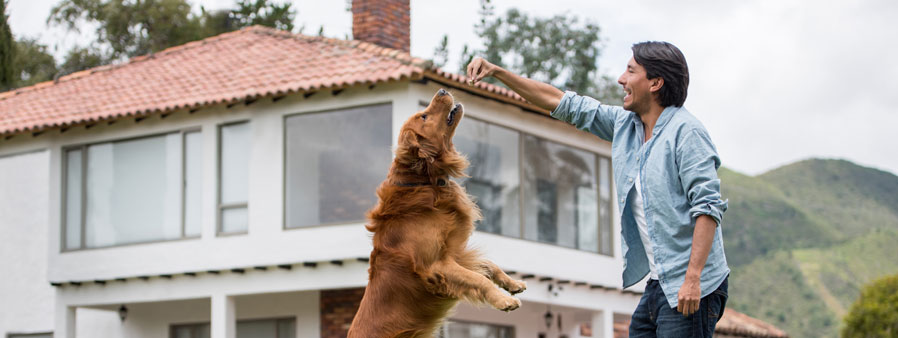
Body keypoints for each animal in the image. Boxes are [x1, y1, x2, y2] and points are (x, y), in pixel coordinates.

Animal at [344, 88, 524, 336]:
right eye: (424, 117)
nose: (442, 90)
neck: (425, 182)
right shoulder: (436, 266)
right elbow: (478, 279)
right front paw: (504, 300)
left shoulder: (455, 254)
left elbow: (488, 265)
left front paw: (512, 284)